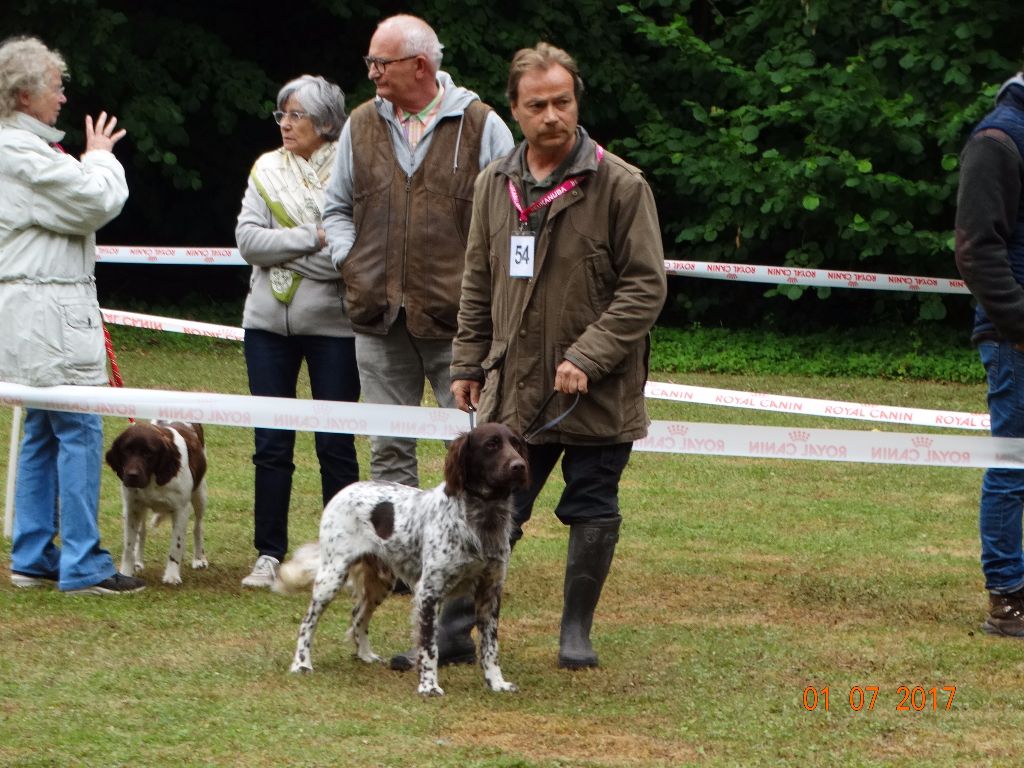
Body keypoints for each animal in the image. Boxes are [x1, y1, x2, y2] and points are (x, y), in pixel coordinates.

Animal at [104, 421, 208, 581]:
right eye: (126, 451)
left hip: (199, 495)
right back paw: (138, 562)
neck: (153, 478)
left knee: (198, 526)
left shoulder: (181, 509)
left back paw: (199, 559)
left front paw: (172, 575)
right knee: (142, 532)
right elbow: (129, 545)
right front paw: (126, 572)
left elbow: (176, 544)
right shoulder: (132, 507)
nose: (132, 475)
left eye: (148, 453)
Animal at [278, 423, 528, 700]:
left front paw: (497, 683)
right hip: (332, 576)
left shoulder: (490, 592)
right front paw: (428, 686)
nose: (519, 466)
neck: (482, 519)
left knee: (358, 616)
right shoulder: (428, 592)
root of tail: (345, 490)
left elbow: (490, 647)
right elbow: (429, 647)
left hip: (381, 582)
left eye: (516, 443)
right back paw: (302, 663)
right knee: (307, 622)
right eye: (491, 445)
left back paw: (365, 655)